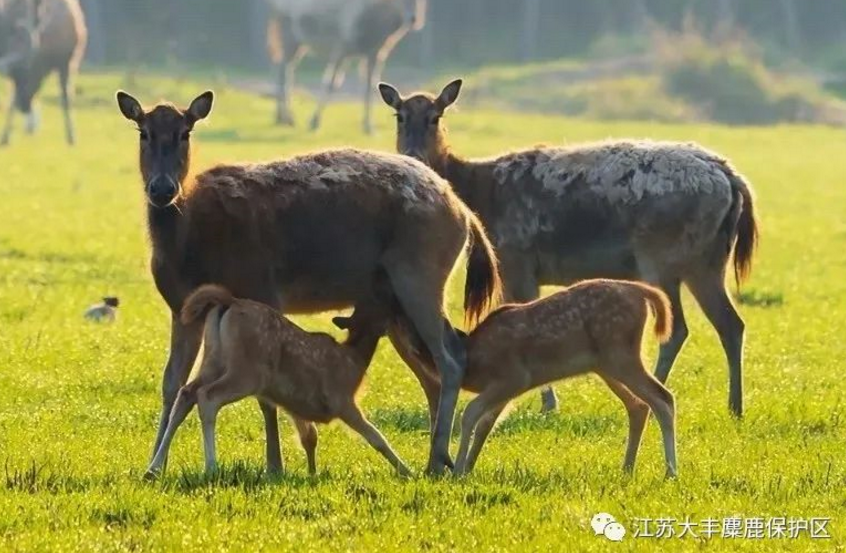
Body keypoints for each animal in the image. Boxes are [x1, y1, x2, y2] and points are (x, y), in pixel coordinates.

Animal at [0, 0, 86, 146]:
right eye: (12, 77)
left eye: (25, 72)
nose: (23, 106)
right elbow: (11, 100)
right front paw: (5, 138)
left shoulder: (67, 61)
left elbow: (66, 98)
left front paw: (71, 138)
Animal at [115, 89, 500, 474]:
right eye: (143, 132)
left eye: (186, 132)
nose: (162, 188)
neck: (188, 247)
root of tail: (464, 213)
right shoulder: (180, 307)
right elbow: (171, 382)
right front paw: (153, 465)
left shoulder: (262, 287)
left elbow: (265, 395)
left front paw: (275, 465)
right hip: (396, 300)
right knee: (430, 374)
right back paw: (438, 458)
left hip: (420, 273)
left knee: (450, 358)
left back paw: (438, 460)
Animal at [266, 0, 428, 133]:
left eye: (421, 0)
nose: (414, 19)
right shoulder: (342, 47)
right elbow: (331, 84)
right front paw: (314, 121)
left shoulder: (375, 52)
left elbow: (370, 86)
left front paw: (368, 126)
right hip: (289, 35)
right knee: (283, 69)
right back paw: (286, 118)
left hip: (297, 42)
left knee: (284, 67)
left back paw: (281, 117)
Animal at [380, 77, 760, 414]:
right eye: (400, 115)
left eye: (436, 116)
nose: (413, 154)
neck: (480, 193)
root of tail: (732, 178)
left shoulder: (516, 258)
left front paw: (548, 403)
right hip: (709, 259)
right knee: (731, 324)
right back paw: (735, 406)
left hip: (661, 254)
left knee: (678, 328)